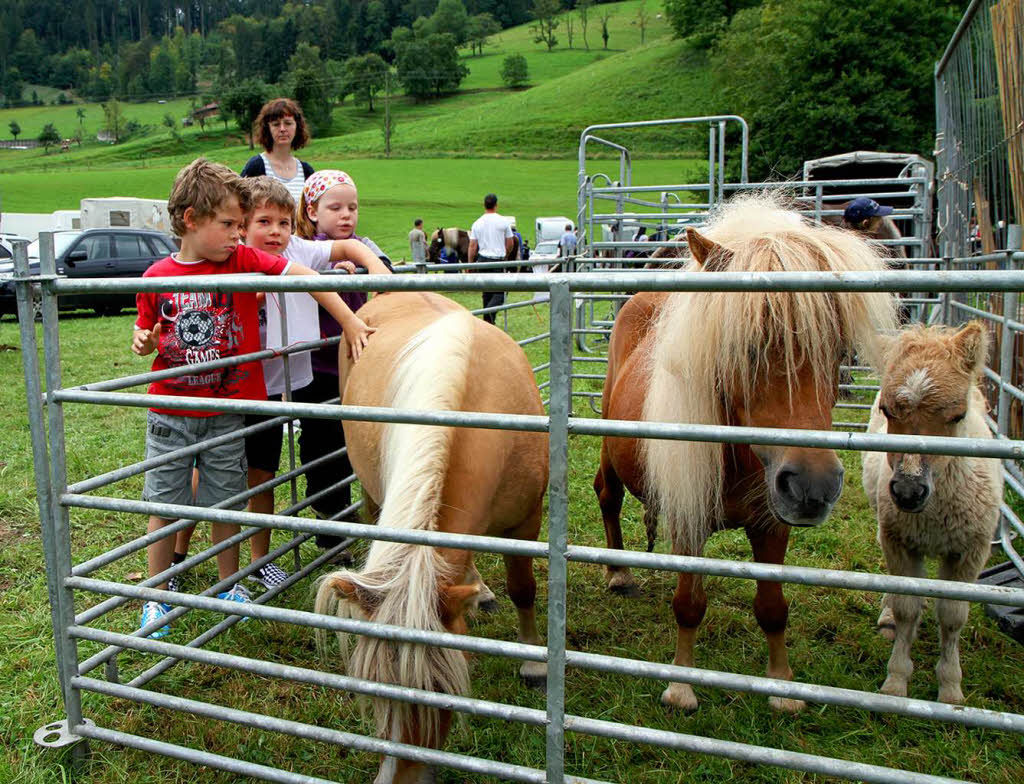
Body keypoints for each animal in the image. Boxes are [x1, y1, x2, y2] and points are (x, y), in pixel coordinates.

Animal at [593, 194, 897, 712]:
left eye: (838, 351)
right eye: (745, 347)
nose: (813, 485)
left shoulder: (773, 524)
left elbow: (772, 608)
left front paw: (782, 687)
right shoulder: (690, 519)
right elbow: (689, 604)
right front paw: (681, 687)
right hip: (610, 456)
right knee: (608, 497)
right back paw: (619, 574)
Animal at [864, 323, 999, 704]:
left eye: (957, 415)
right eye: (887, 410)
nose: (908, 492)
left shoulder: (970, 552)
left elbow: (952, 617)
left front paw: (951, 688)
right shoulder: (898, 542)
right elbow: (907, 607)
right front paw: (896, 681)